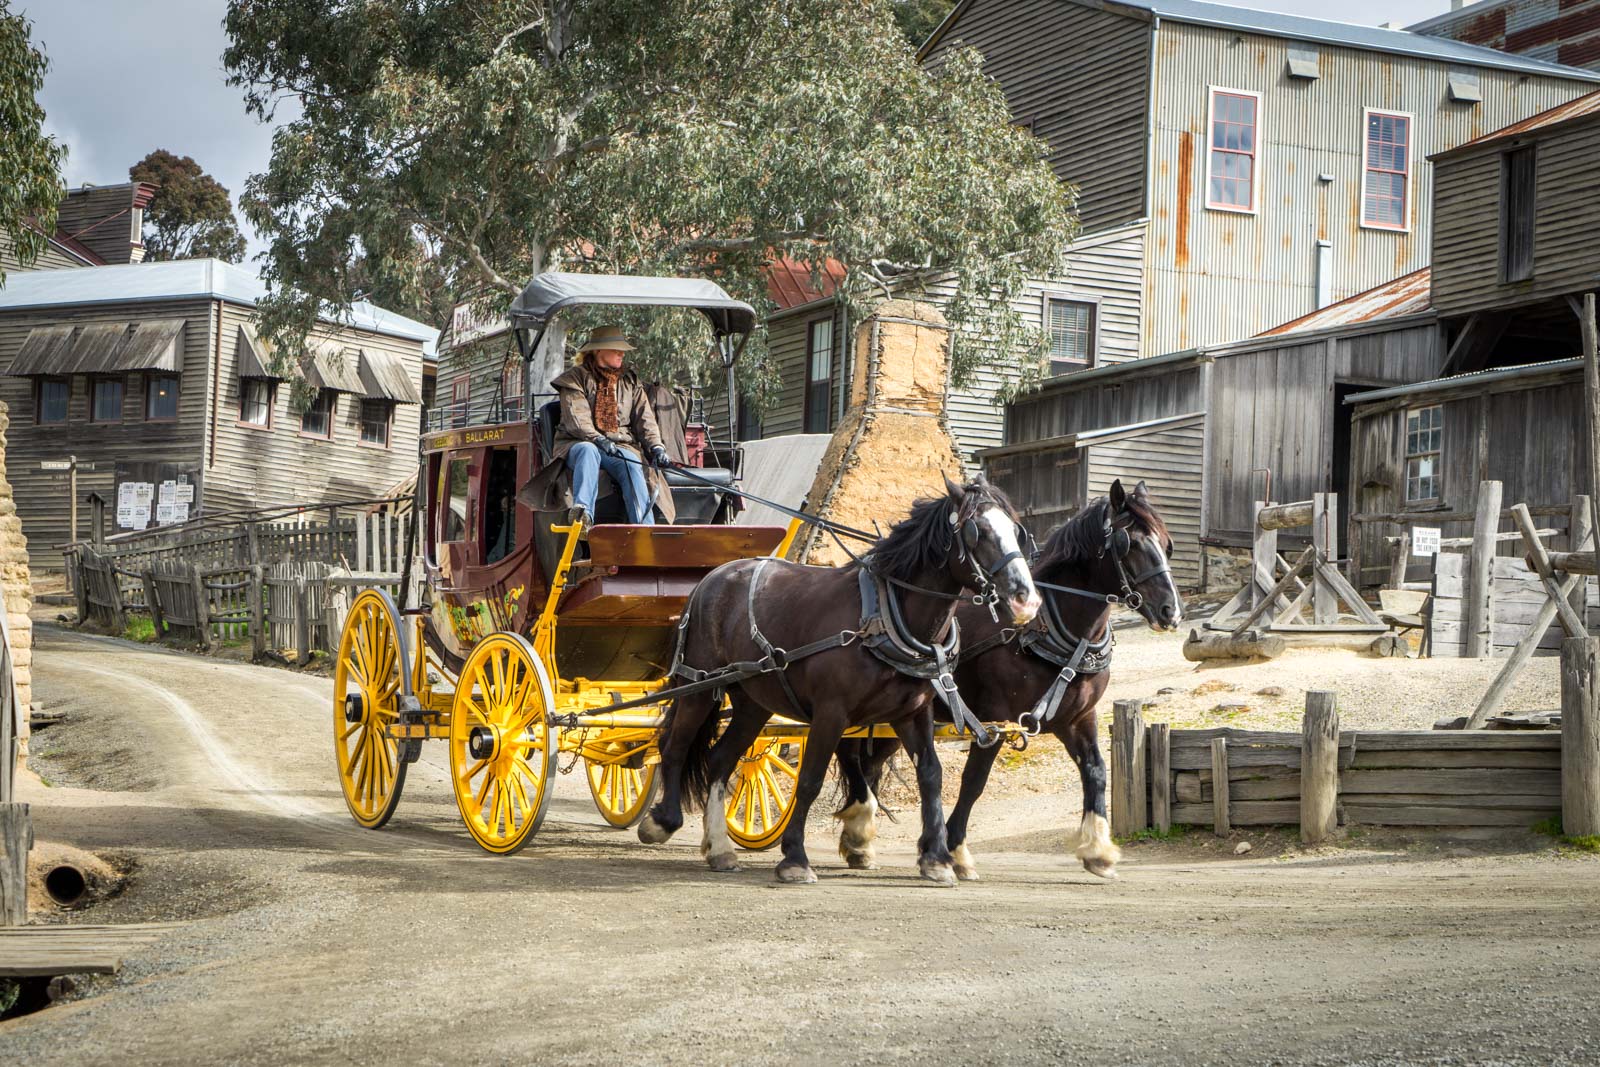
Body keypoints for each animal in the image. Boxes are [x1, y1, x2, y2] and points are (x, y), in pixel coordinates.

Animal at [643, 476, 1043, 883]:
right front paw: (795, 857)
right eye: (978, 532)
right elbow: (810, 779)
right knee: (675, 747)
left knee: (720, 758)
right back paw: (662, 821)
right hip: (700, 686)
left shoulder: (912, 713)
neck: (884, 616)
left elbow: (931, 773)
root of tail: (713, 576)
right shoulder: (831, 712)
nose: (1026, 600)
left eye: (1017, 531)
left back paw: (721, 848)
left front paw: (937, 859)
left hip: (753, 702)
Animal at [832, 479, 1184, 883]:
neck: (1046, 628)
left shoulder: (1078, 718)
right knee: (848, 753)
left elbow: (1096, 771)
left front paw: (1098, 850)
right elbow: (974, 782)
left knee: (868, 762)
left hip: (895, 713)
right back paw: (860, 830)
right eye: (1132, 543)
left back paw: (859, 841)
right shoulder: (994, 720)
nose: (1172, 612)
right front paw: (955, 851)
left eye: (1167, 543)